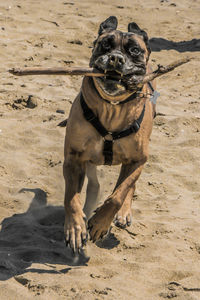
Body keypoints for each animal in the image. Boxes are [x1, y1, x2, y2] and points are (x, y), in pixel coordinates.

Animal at [62, 15, 156, 251]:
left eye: (134, 50)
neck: (112, 108)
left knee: (127, 187)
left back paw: (122, 213)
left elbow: (118, 194)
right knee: (94, 186)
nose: (115, 58)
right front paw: (75, 227)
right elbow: (71, 196)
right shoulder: (73, 158)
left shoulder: (138, 160)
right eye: (105, 45)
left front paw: (100, 223)